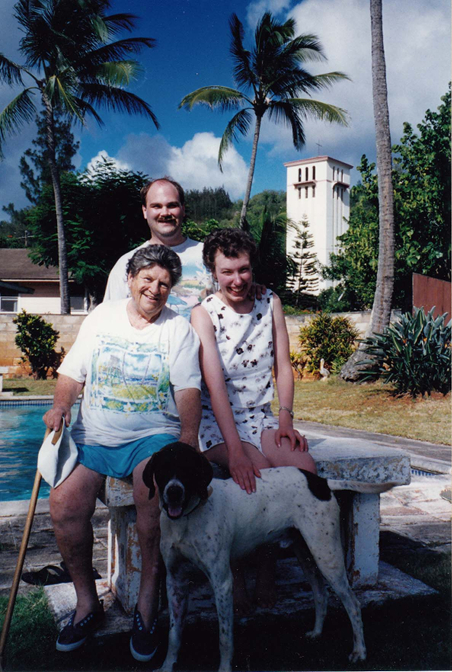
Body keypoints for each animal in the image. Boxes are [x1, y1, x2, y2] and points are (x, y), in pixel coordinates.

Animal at [143, 444, 366, 668]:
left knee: (354, 605)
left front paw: (224, 668)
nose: (174, 492)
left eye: (188, 468)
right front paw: (167, 666)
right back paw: (317, 632)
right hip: (307, 555)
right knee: (321, 593)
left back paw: (359, 651)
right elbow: (174, 636)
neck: (186, 520)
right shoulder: (175, 581)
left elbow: (224, 638)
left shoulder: (222, 582)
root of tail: (321, 482)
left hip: (327, 557)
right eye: (162, 468)